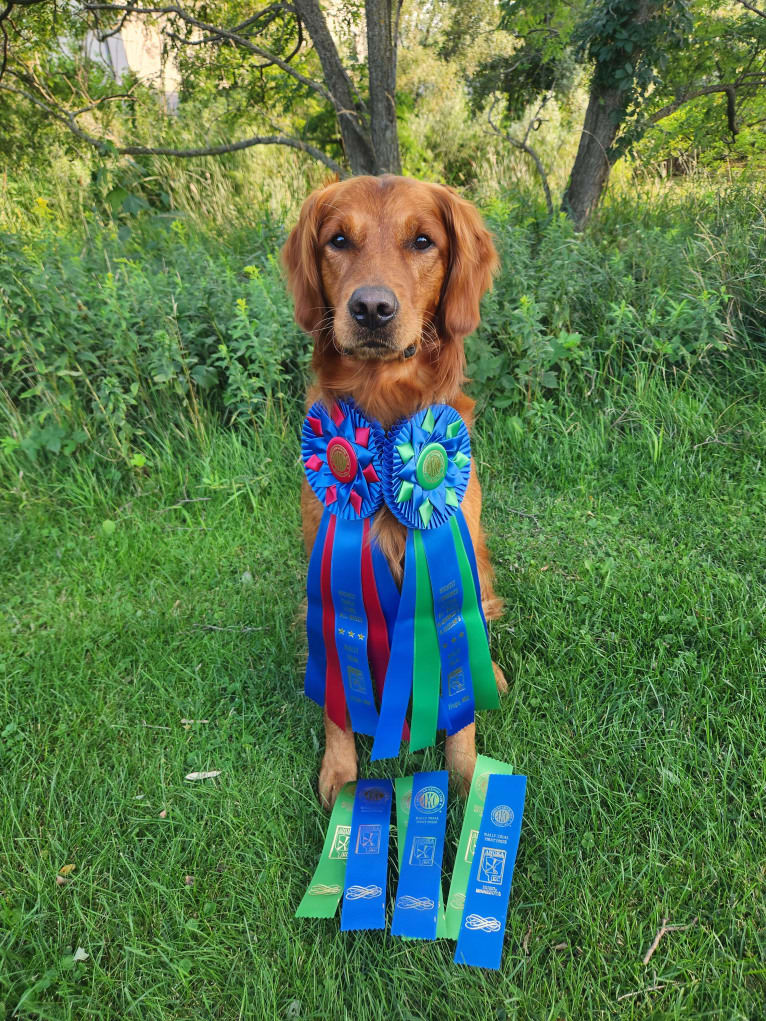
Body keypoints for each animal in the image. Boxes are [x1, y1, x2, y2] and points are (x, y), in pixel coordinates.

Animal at [285, 177, 506, 812]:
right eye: (338, 240)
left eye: (423, 241)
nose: (371, 309)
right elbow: (337, 691)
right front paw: (341, 771)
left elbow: (460, 694)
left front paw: (466, 773)